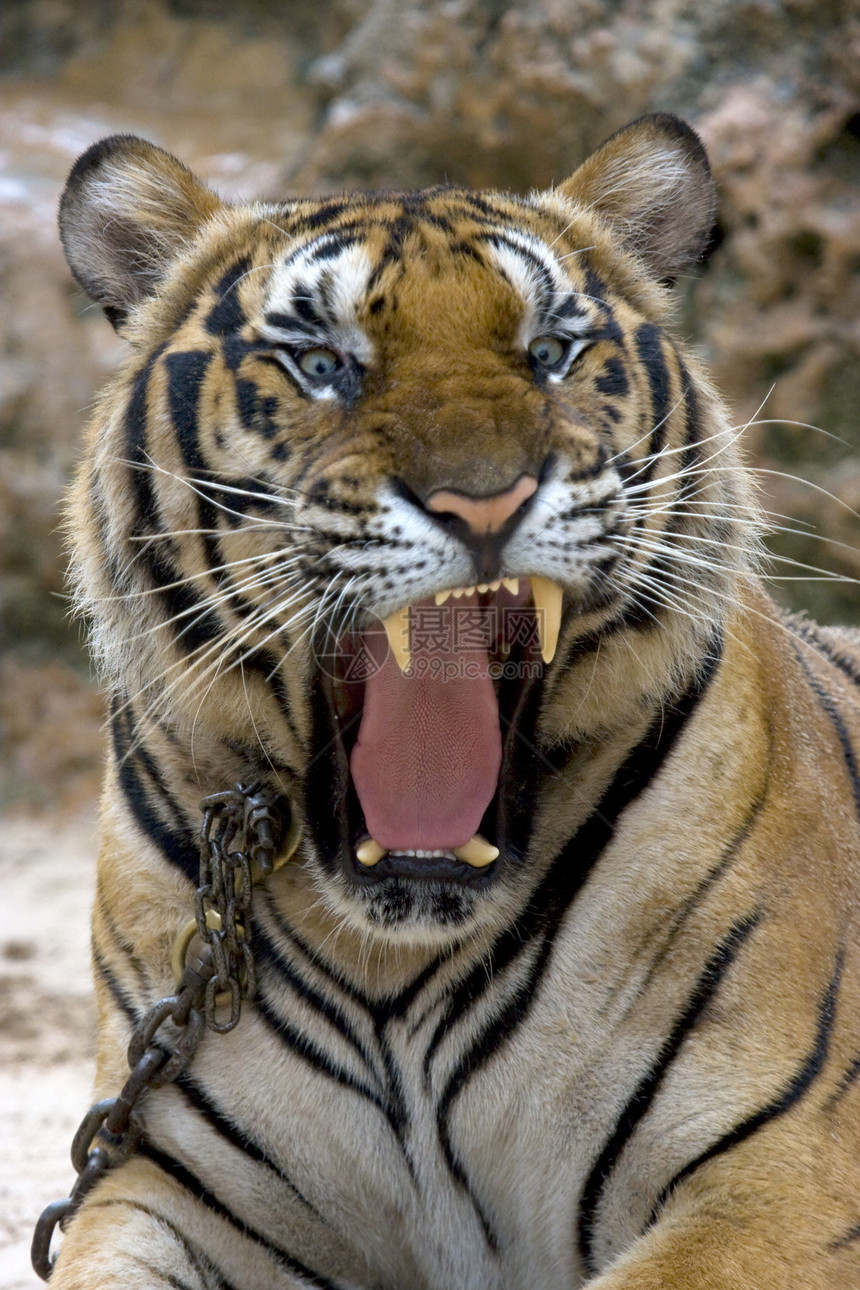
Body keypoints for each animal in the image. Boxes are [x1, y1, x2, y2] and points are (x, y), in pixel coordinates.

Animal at [45, 116, 860, 1284]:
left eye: (550, 351)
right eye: (322, 364)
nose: (484, 500)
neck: (394, 960)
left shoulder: (776, 1175)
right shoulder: (159, 1179)